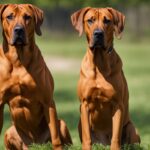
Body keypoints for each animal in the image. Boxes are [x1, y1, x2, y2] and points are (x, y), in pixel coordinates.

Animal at [0, 3, 72, 150]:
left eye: (27, 17)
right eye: (9, 16)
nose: (19, 30)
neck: (18, 61)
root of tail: (34, 144)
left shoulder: (47, 101)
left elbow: (56, 137)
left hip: (61, 124)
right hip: (9, 131)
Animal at [71, 6, 140, 149]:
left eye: (107, 21)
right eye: (90, 20)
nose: (98, 34)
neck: (99, 64)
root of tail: (103, 144)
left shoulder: (118, 105)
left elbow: (115, 137)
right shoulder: (84, 104)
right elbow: (87, 137)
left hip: (131, 127)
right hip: (80, 122)